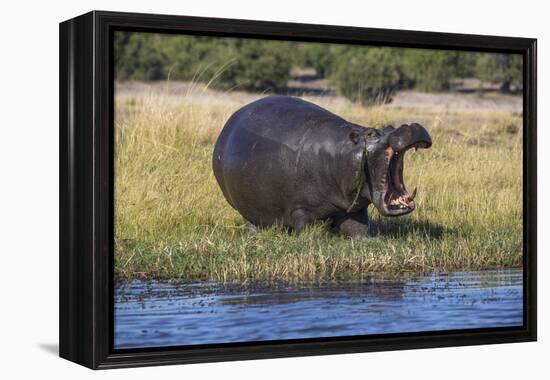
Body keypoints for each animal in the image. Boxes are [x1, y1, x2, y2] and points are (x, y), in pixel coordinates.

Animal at [213, 95, 434, 236]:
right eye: (371, 133)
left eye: (389, 127)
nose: (410, 125)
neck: (342, 153)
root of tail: (227, 127)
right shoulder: (301, 209)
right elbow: (308, 231)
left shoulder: (353, 210)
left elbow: (359, 231)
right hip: (248, 210)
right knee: (252, 222)